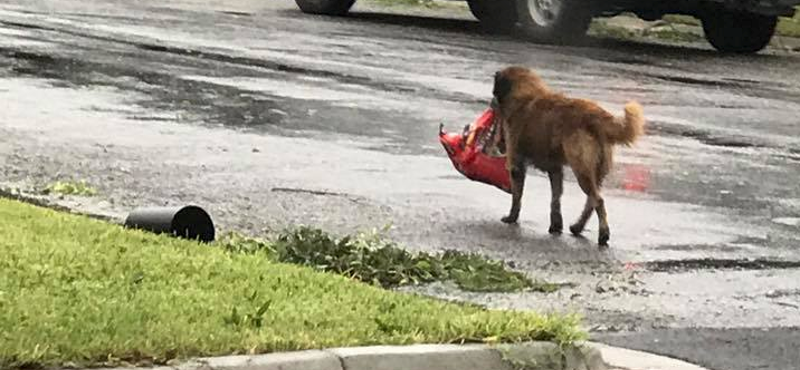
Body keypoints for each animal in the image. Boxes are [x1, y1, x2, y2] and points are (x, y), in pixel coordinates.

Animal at [490, 66, 648, 246]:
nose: (491, 102)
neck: (525, 94)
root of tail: (596, 115)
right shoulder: (555, 169)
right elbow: (556, 199)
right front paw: (556, 225)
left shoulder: (517, 164)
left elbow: (517, 196)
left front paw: (511, 218)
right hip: (596, 172)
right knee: (591, 201)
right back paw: (578, 227)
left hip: (581, 169)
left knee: (598, 200)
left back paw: (603, 234)